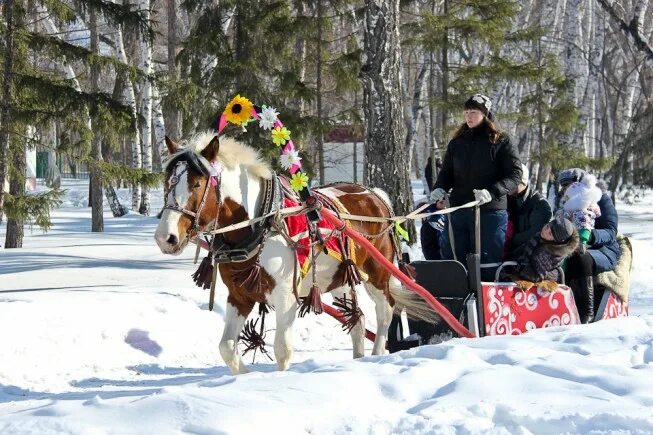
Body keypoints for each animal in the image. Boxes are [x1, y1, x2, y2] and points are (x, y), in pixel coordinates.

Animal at [155, 133, 436, 374]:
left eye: (197, 183)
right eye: (167, 182)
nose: (164, 238)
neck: (262, 221)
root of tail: (374, 195)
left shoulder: (285, 294)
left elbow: (282, 349)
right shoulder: (239, 295)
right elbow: (227, 347)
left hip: (377, 273)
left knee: (385, 311)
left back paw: (375, 356)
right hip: (341, 279)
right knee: (356, 319)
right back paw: (357, 359)